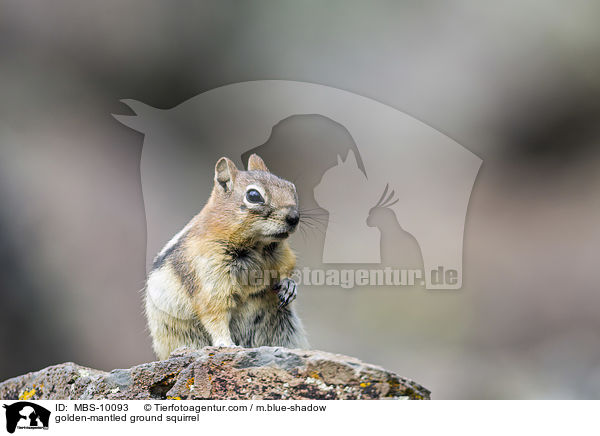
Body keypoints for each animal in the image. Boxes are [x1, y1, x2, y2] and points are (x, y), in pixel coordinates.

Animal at [143, 153, 308, 358]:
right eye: (254, 196)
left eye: (291, 187)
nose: (294, 217)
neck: (257, 246)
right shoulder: (210, 278)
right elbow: (215, 314)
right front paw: (226, 344)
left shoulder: (282, 253)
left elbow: (288, 266)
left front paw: (289, 285)